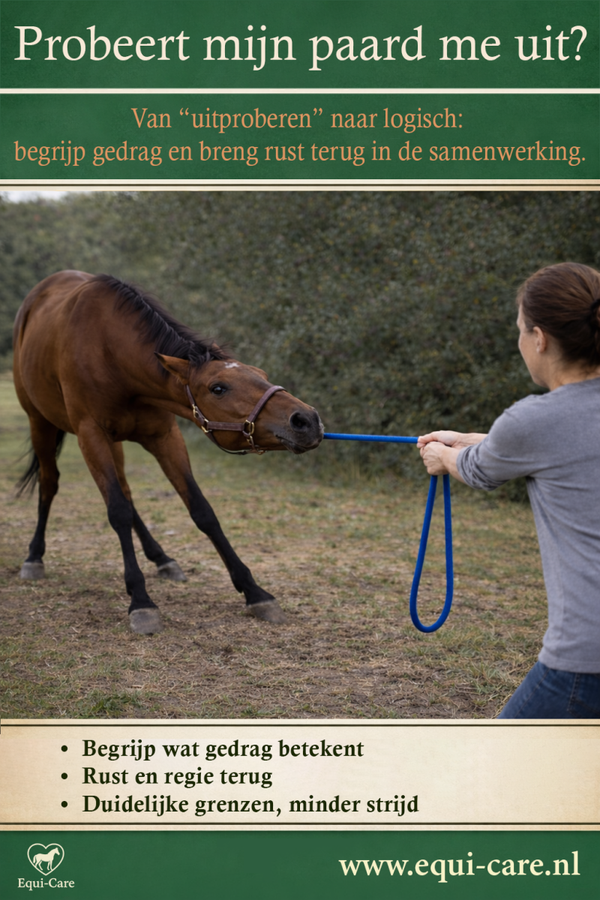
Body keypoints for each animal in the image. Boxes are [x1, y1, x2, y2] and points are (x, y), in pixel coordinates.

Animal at [13, 270, 323, 633]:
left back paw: (161, 558)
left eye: (261, 374)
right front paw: (141, 601)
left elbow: (201, 510)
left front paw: (254, 591)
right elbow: (117, 511)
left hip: (114, 442)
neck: (110, 353)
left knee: (126, 491)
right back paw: (34, 556)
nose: (306, 420)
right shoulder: (91, 436)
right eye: (218, 388)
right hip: (41, 424)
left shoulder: (165, 437)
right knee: (50, 483)